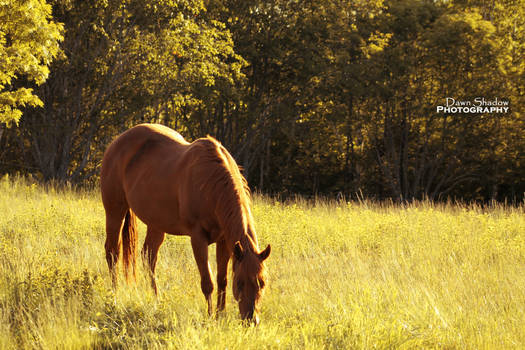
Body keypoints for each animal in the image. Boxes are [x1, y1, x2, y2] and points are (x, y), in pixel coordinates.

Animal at [100, 124, 270, 324]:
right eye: (241, 282)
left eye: (262, 282)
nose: (251, 320)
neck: (210, 185)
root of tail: (116, 143)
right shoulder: (198, 238)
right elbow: (208, 282)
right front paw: (210, 317)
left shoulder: (224, 241)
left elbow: (222, 280)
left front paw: (220, 315)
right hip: (115, 210)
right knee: (113, 252)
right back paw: (114, 297)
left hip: (156, 224)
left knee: (148, 257)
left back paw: (157, 300)